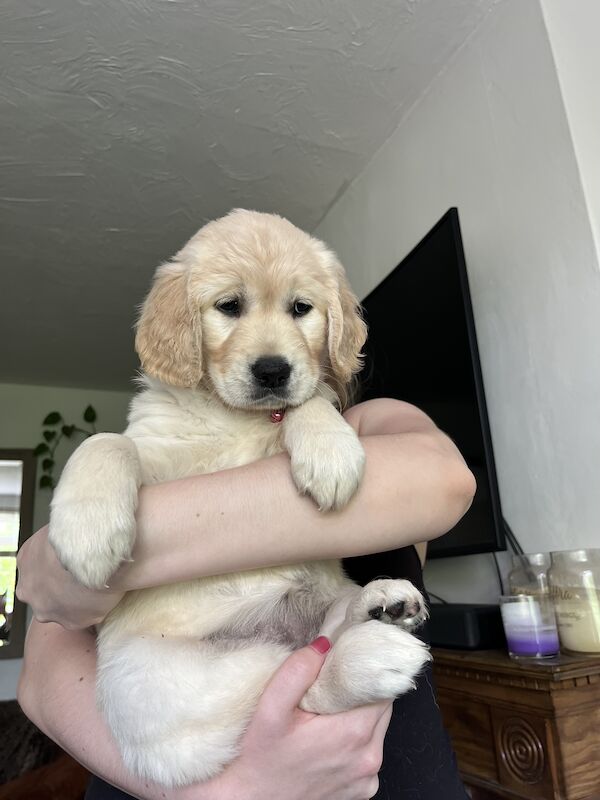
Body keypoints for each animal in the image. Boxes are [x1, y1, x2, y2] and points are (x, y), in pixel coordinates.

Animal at [49, 208, 428, 788]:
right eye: (229, 306)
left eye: (301, 309)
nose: (272, 370)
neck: (237, 419)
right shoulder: (161, 455)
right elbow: (107, 441)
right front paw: (87, 533)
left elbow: (309, 400)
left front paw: (330, 448)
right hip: (175, 685)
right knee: (295, 683)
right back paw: (370, 653)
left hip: (316, 598)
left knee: (326, 632)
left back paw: (383, 604)